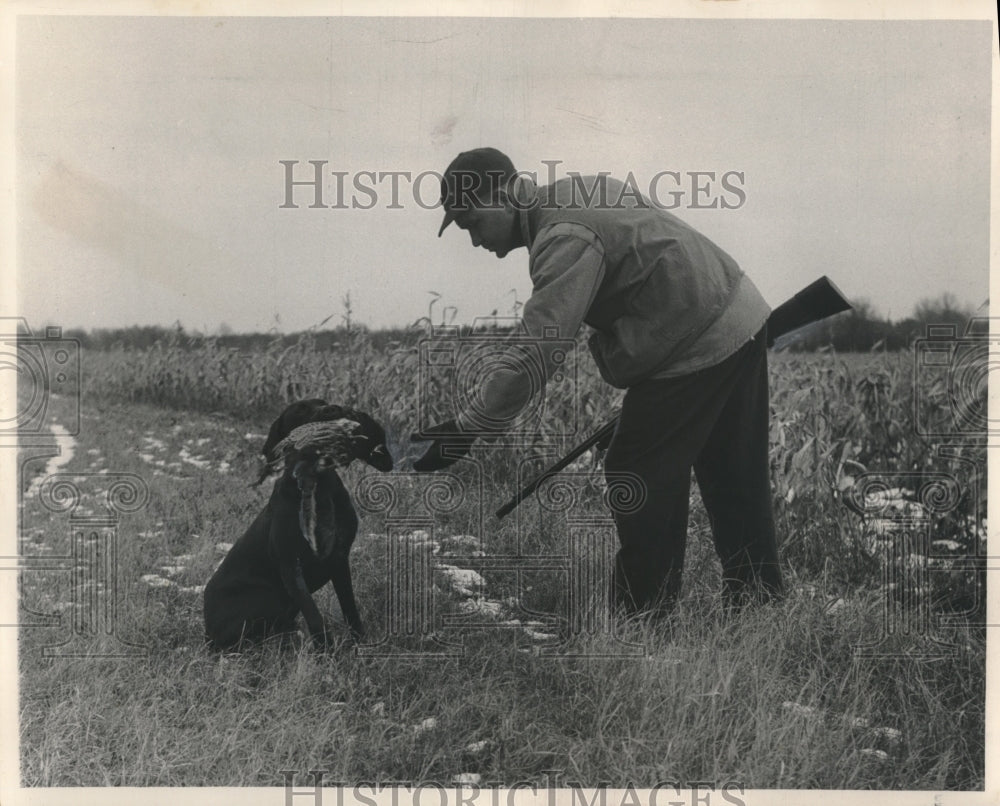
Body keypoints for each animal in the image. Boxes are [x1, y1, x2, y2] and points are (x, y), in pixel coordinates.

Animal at [201, 400, 392, 652]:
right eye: (301, 410)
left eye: (323, 401)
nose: (333, 409)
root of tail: (207, 631)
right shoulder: (291, 566)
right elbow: (314, 615)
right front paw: (328, 654)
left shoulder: (340, 557)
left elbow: (350, 608)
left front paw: (359, 643)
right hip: (267, 597)